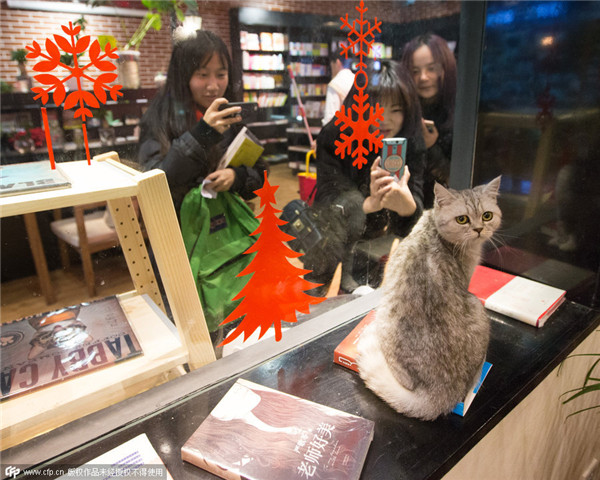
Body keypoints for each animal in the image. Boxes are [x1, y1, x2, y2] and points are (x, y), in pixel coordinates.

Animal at [356, 176, 502, 420]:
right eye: (462, 219)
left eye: (487, 215)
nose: (479, 229)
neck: (433, 226)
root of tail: (442, 394)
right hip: (475, 304)